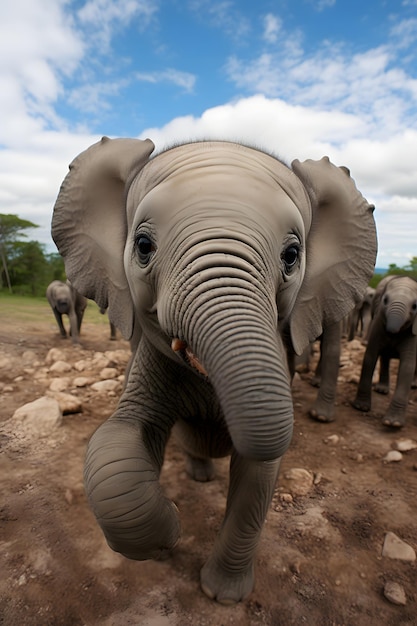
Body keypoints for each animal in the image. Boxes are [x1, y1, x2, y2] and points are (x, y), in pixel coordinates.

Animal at [50, 138, 376, 604]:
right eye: (143, 245)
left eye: (292, 256)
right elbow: (120, 441)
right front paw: (168, 529)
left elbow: (258, 477)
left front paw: (222, 595)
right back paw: (199, 476)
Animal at [352, 272, 416, 424]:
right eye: (385, 300)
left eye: (415, 306)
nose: (391, 331)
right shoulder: (378, 322)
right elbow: (370, 357)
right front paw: (361, 407)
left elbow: (407, 366)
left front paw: (393, 423)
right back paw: (381, 390)